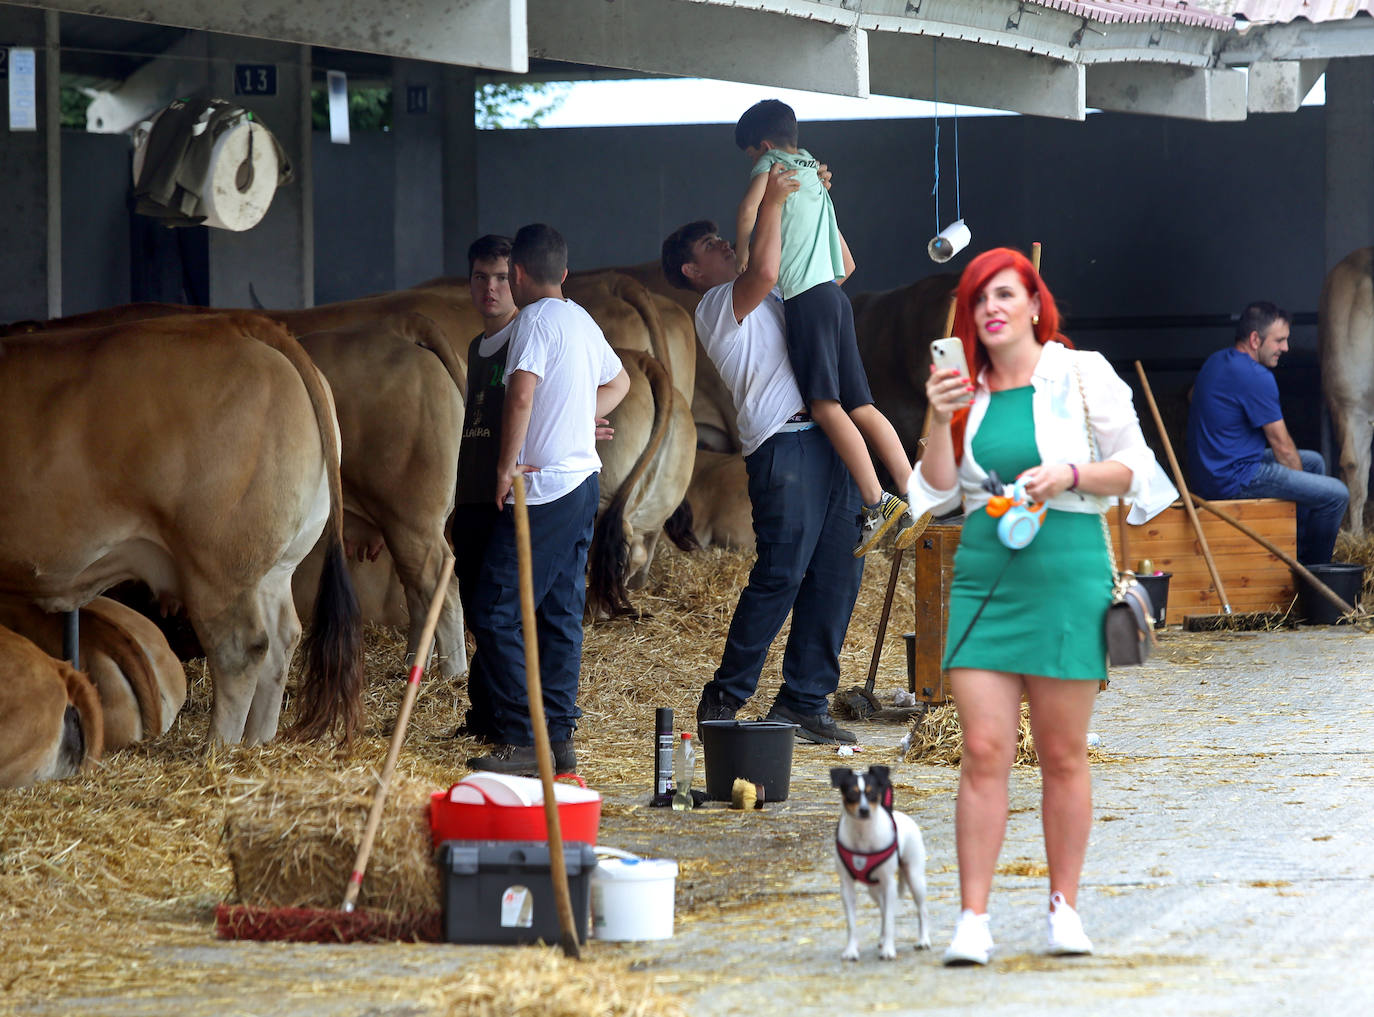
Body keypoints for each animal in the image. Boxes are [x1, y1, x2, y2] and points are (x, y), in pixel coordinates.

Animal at [0, 313, 359, 742]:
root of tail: (238, 323)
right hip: (275, 565)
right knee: (281, 641)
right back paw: (257, 743)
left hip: (217, 564)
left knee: (241, 649)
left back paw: (219, 747)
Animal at [824, 764, 934, 956]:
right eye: (851, 793)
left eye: (873, 793)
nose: (864, 810)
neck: (862, 834)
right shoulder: (847, 887)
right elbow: (852, 924)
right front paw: (851, 950)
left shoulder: (889, 884)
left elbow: (890, 920)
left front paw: (889, 950)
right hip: (874, 889)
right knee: (883, 909)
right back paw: (883, 939)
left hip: (915, 879)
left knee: (922, 910)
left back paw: (923, 940)